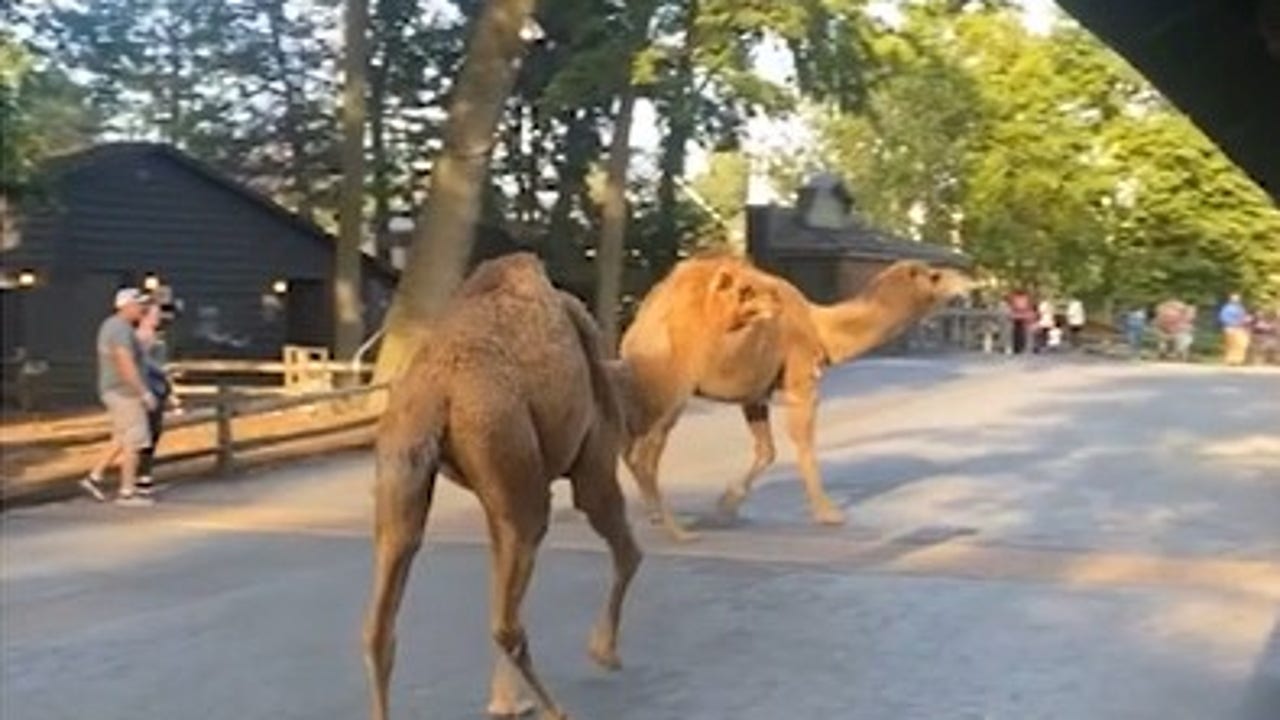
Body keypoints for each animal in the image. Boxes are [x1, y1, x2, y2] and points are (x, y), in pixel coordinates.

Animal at [362, 252, 642, 720]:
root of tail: (438, 395)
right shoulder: (593, 462)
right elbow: (629, 552)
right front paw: (604, 651)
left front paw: (506, 700)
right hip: (509, 451)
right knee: (507, 621)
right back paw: (557, 709)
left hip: (403, 467)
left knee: (380, 624)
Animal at [617, 253, 971, 540]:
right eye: (935, 276)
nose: (967, 281)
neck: (820, 326)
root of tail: (642, 323)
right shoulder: (801, 381)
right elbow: (804, 444)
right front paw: (829, 513)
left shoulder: (754, 391)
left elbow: (767, 450)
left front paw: (728, 503)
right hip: (673, 388)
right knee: (645, 452)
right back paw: (676, 530)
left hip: (646, 387)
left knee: (631, 445)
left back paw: (655, 516)